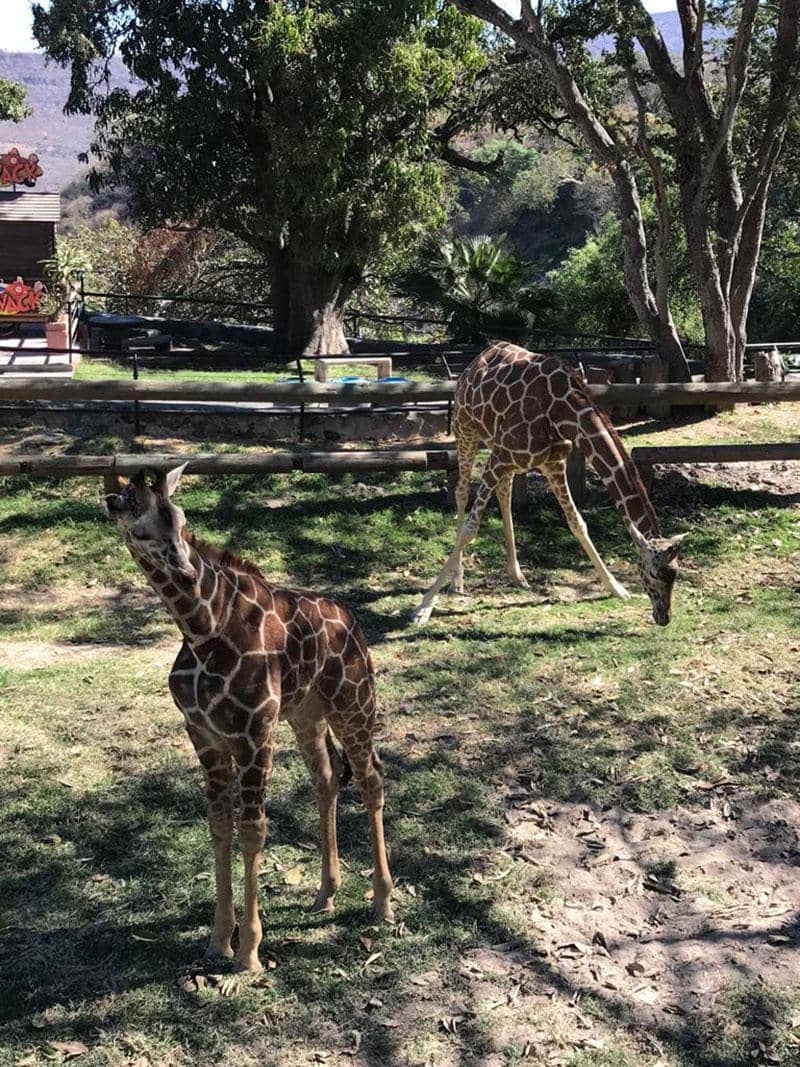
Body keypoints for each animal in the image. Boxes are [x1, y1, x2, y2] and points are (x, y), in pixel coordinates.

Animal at [105, 467, 392, 977]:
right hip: (306, 714)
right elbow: (220, 825)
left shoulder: (254, 736)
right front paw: (219, 941)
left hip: (353, 702)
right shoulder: (205, 737)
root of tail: (352, 620)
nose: (184, 569)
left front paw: (250, 953)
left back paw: (382, 902)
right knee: (327, 778)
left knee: (371, 776)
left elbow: (253, 831)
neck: (203, 633)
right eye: (137, 526)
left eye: (180, 517)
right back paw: (325, 893)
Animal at [413, 341, 691, 623]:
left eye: (675, 571)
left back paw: (517, 574)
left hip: (499, 449)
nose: (664, 616)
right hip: (467, 430)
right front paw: (424, 606)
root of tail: (475, 362)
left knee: (504, 492)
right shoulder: (500, 458)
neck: (561, 413)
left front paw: (616, 588)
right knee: (460, 491)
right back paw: (457, 580)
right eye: (654, 573)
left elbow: (577, 522)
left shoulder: (552, 464)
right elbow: (470, 529)